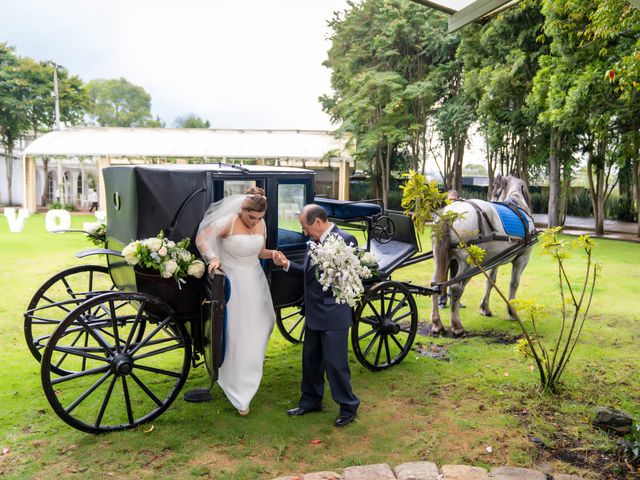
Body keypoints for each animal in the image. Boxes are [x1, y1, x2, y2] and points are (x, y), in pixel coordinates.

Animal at [430, 174, 536, 336]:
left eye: (495, 192)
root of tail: (450, 213)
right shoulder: (522, 259)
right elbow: (514, 284)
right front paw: (511, 311)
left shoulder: (496, 260)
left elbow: (491, 281)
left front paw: (485, 308)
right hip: (467, 263)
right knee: (455, 288)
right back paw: (457, 325)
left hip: (442, 258)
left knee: (436, 284)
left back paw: (437, 323)